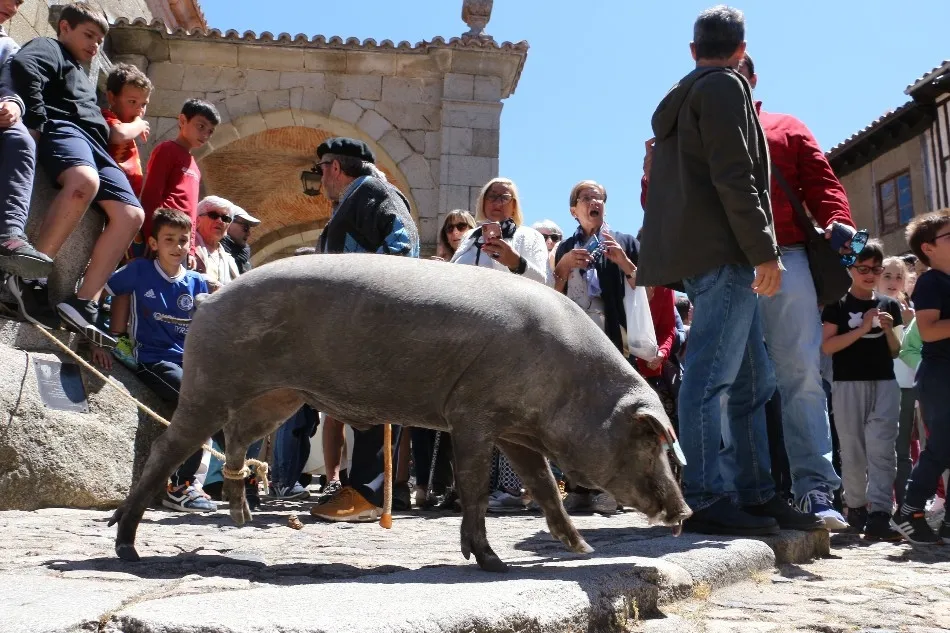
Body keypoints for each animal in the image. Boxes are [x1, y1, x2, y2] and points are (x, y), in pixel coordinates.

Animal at [110, 254, 691, 572]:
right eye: (651, 441)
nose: (684, 511)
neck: (569, 382)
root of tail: (208, 299)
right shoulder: (472, 413)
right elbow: (474, 486)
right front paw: (492, 563)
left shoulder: (517, 430)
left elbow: (546, 487)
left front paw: (583, 549)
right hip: (209, 384)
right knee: (169, 449)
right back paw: (127, 547)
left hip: (277, 398)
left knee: (235, 441)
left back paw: (242, 518)